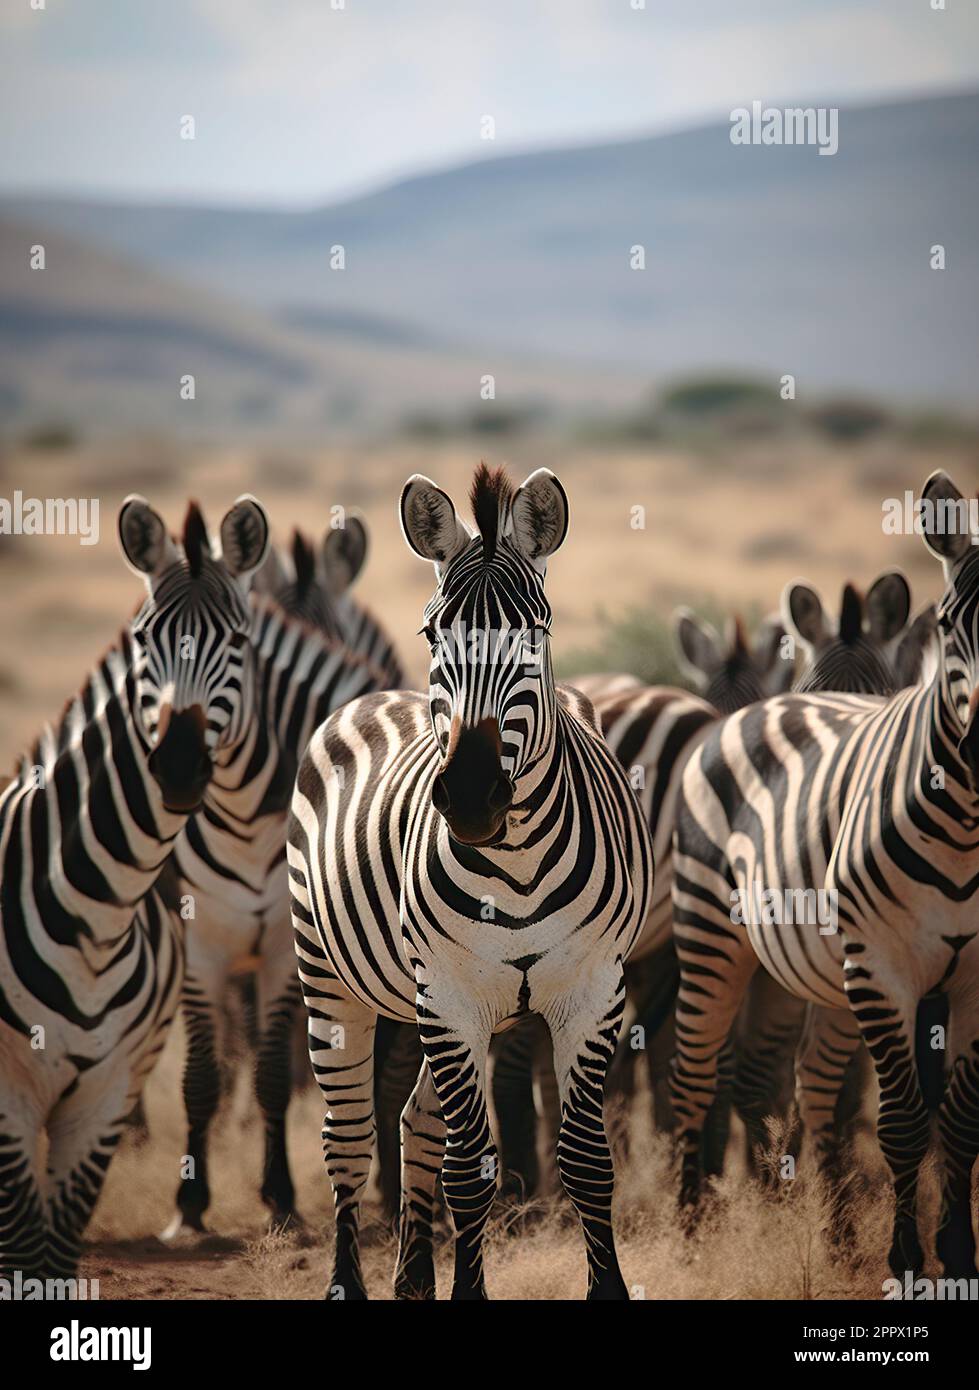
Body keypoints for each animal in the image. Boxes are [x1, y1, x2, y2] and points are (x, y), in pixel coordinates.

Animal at [0, 495, 270, 1279]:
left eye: (237, 639)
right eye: (145, 638)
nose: (177, 767)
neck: (94, 918)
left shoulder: (101, 1103)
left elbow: (53, 1252)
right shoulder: (10, 1104)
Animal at [288, 463, 653, 1299]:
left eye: (534, 634)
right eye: (433, 634)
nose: (472, 795)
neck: (513, 866)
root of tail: (372, 694)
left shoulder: (594, 991)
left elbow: (585, 1161)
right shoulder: (449, 998)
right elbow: (468, 1168)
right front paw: (468, 1289)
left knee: (414, 1121)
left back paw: (413, 1277)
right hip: (332, 980)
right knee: (349, 1138)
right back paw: (349, 1281)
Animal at [670, 469, 979, 1278]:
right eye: (947, 625)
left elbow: (957, 1120)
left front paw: (956, 1257)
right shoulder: (883, 970)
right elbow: (903, 1121)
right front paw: (907, 1260)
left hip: (808, 969)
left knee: (806, 1078)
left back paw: (833, 1235)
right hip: (713, 938)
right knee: (693, 1076)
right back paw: (689, 1234)